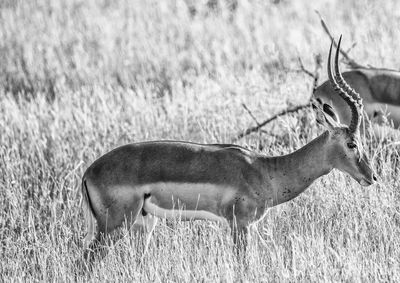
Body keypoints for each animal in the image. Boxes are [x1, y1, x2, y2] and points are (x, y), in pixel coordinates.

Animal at [82, 38, 378, 260]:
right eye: (352, 143)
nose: (372, 177)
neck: (265, 170)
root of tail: (88, 173)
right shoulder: (240, 225)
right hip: (114, 226)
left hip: (142, 224)